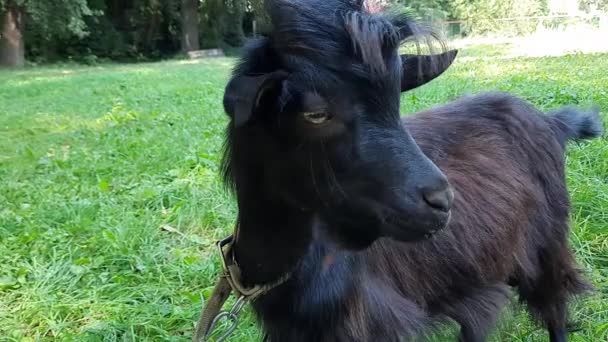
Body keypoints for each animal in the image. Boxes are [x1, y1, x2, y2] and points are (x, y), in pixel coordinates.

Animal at [217, 1, 604, 340]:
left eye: (396, 100)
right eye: (315, 113)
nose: (442, 201)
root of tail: (552, 121)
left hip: (546, 247)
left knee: (555, 312)